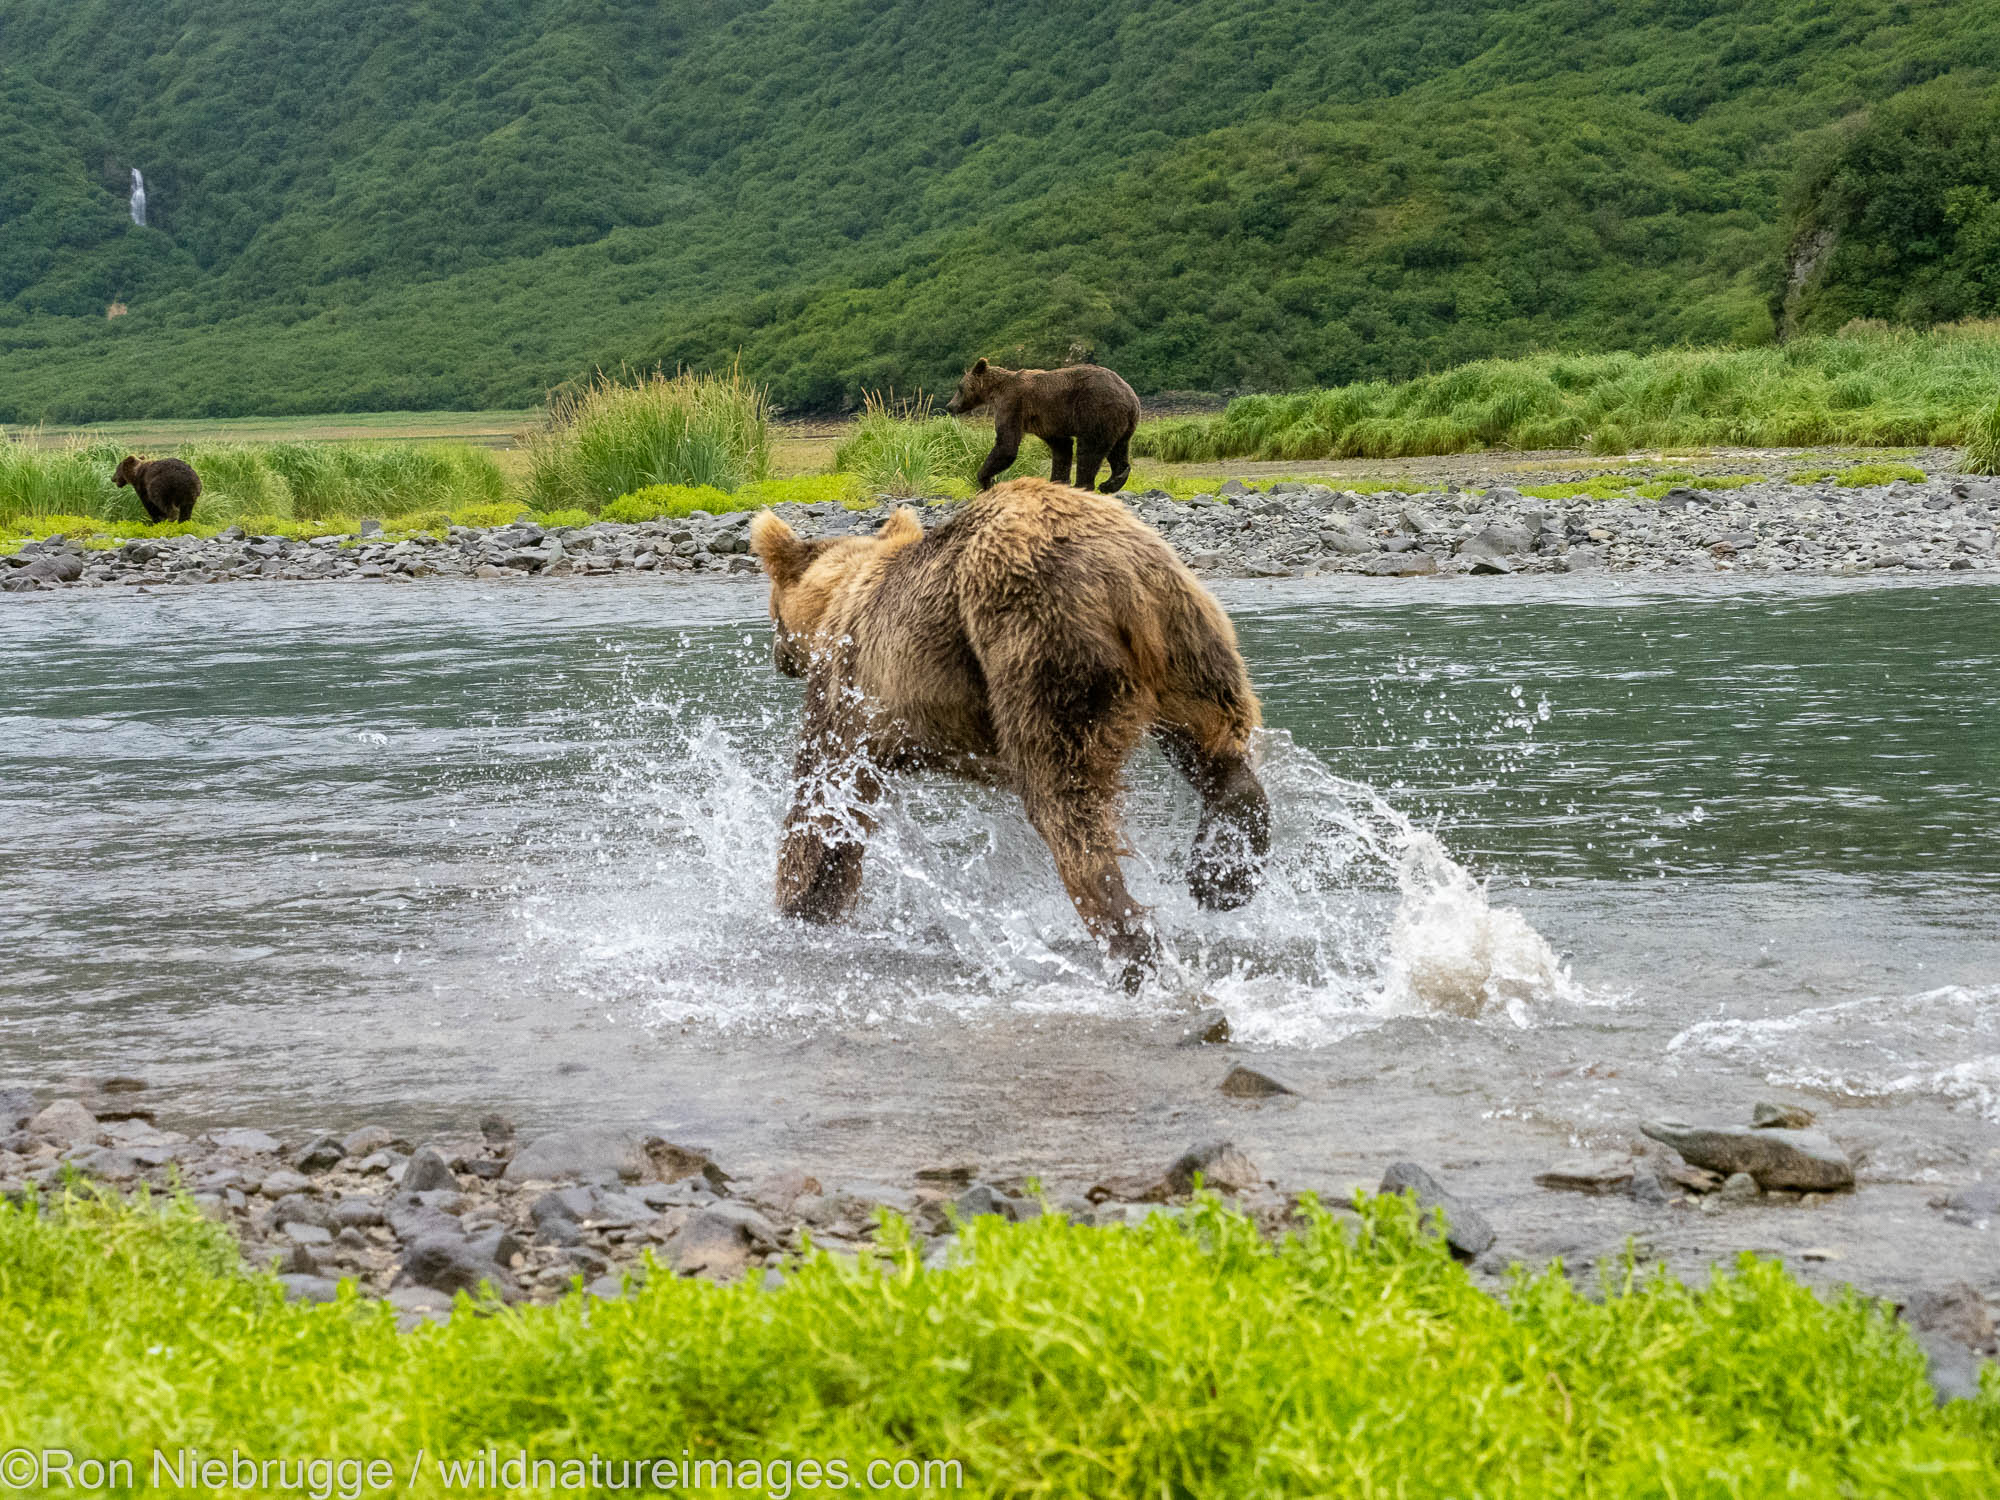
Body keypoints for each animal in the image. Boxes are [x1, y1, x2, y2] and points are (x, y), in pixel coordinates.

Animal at [752, 482, 1264, 1000]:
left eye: (772, 607)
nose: (778, 655)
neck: (836, 599)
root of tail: (1119, 576)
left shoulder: (852, 692)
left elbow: (821, 801)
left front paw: (802, 906)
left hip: (1037, 645)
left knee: (1066, 805)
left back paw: (1131, 951)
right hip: (1190, 638)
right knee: (1214, 744)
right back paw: (1224, 873)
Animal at [948, 358, 1144, 494]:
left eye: (959, 387)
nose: (950, 406)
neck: (995, 391)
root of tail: (1131, 397)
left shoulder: (1012, 405)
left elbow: (1006, 445)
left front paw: (985, 479)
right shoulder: (1047, 421)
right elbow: (1061, 447)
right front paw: (1057, 481)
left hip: (1096, 410)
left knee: (1089, 450)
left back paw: (1084, 485)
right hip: (1122, 423)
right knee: (1118, 449)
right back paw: (1112, 482)